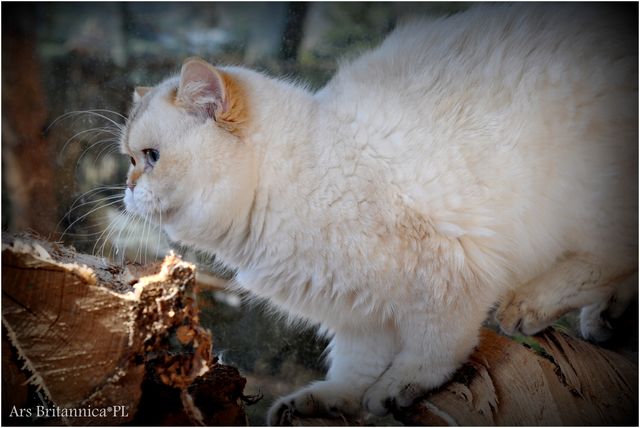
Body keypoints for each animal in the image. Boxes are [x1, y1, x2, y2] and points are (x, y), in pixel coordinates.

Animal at [120, 4, 637, 424]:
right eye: (129, 158)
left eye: (151, 157)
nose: (126, 188)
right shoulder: (359, 315)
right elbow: (353, 369)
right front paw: (330, 401)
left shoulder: (447, 281)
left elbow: (429, 354)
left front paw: (392, 391)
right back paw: (602, 319)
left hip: (588, 203)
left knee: (606, 261)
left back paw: (529, 307)